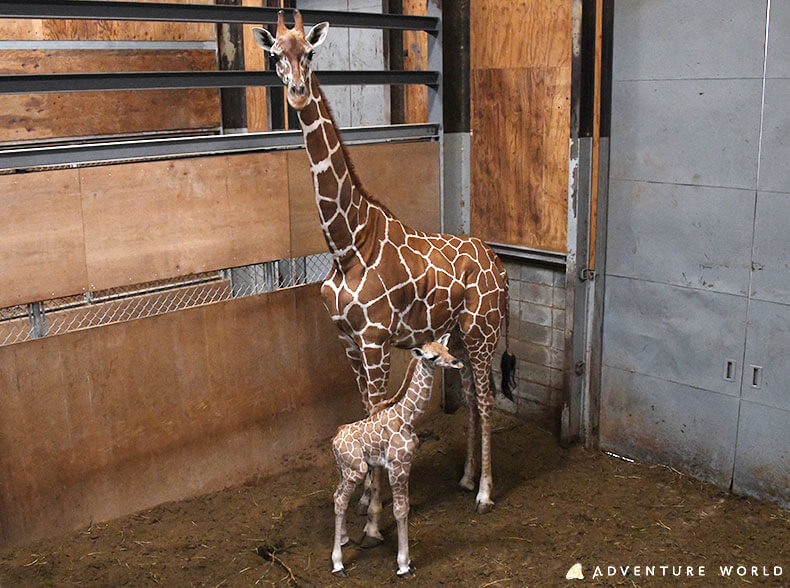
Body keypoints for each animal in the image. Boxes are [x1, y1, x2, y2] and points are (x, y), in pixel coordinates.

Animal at [251, 11, 516, 524]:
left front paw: (374, 511)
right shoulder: (348, 341)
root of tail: (499, 265)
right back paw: (465, 477)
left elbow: (376, 409)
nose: (296, 91)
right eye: (275, 55)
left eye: (309, 52)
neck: (347, 244)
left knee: (486, 398)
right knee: (472, 397)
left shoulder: (375, 341)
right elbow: (363, 407)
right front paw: (362, 503)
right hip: (458, 335)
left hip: (483, 332)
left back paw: (484, 492)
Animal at [330, 334, 464, 576]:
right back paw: (337, 563)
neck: (408, 418)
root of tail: (334, 439)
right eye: (433, 356)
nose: (457, 362)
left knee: (338, 497)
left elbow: (406, 507)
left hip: (344, 470)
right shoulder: (396, 465)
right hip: (357, 470)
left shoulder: (407, 463)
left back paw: (344, 538)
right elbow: (400, 510)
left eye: (447, 349)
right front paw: (403, 564)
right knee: (340, 499)